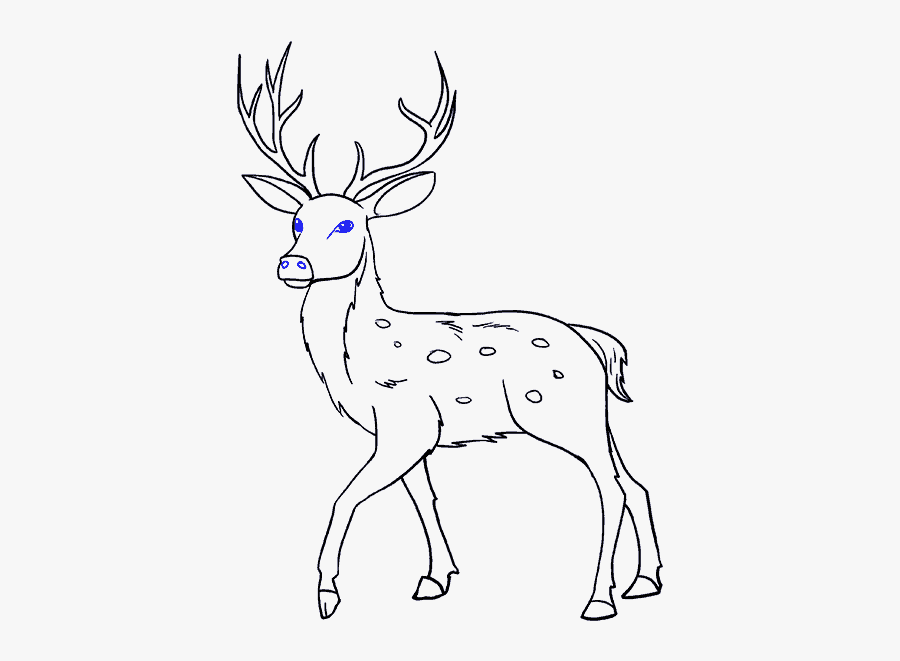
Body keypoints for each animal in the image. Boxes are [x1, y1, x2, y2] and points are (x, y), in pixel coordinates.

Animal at [236, 44, 663, 621]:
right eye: (298, 221)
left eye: (347, 224)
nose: (292, 264)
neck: (356, 361)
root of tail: (595, 341)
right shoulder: (411, 434)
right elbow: (421, 496)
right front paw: (436, 578)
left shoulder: (405, 421)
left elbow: (346, 495)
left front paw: (327, 594)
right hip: (596, 416)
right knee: (633, 482)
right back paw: (644, 581)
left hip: (561, 413)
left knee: (610, 490)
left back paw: (599, 599)